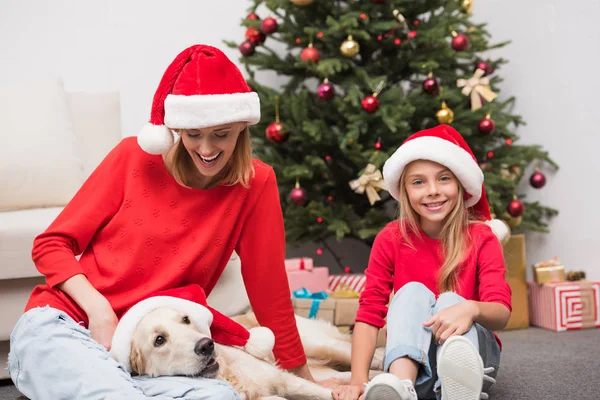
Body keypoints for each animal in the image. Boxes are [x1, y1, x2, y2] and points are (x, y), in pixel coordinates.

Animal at [130, 308, 384, 398]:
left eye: (186, 319)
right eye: (159, 340)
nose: (206, 344)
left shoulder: (284, 380)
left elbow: (322, 393)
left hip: (321, 345)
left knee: (368, 356)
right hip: (323, 369)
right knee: (344, 375)